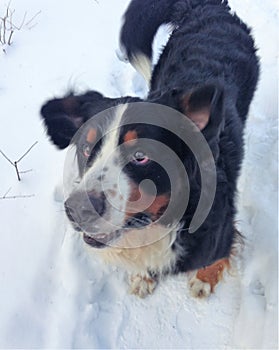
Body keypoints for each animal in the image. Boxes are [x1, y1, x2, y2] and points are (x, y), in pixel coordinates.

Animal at [41, 0, 260, 298]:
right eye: (86, 148)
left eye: (141, 156)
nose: (79, 209)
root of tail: (207, 8)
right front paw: (142, 276)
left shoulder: (220, 230)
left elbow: (216, 255)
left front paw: (204, 279)